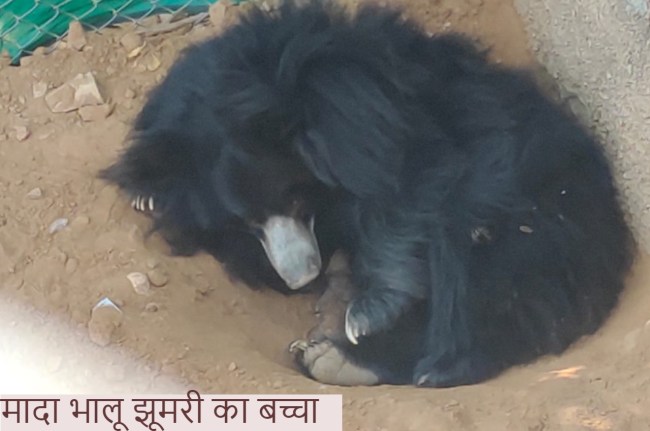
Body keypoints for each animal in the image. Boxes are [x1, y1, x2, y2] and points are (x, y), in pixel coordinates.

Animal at [100, 0, 635, 387]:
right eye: (248, 222)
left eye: (296, 202)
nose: (301, 276)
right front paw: (150, 195)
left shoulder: (396, 127)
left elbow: (407, 195)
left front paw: (367, 311)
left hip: (538, 226)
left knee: (486, 279)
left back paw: (363, 359)